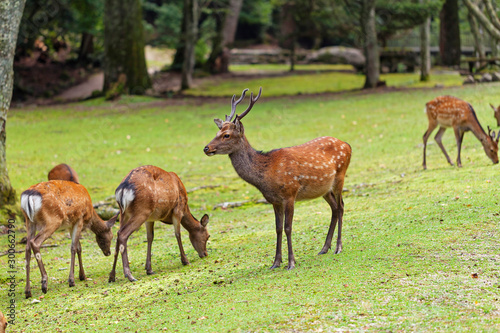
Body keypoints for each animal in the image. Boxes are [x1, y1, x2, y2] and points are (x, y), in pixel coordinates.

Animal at [203, 88, 352, 270]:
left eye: (226, 135)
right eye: (216, 132)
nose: (206, 148)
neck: (266, 176)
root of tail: (347, 145)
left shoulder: (290, 193)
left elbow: (288, 227)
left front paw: (291, 262)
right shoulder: (274, 200)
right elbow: (278, 228)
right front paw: (276, 262)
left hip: (340, 177)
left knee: (342, 206)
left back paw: (338, 247)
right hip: (324, 189)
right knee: (335, 208)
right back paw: (324, 248)